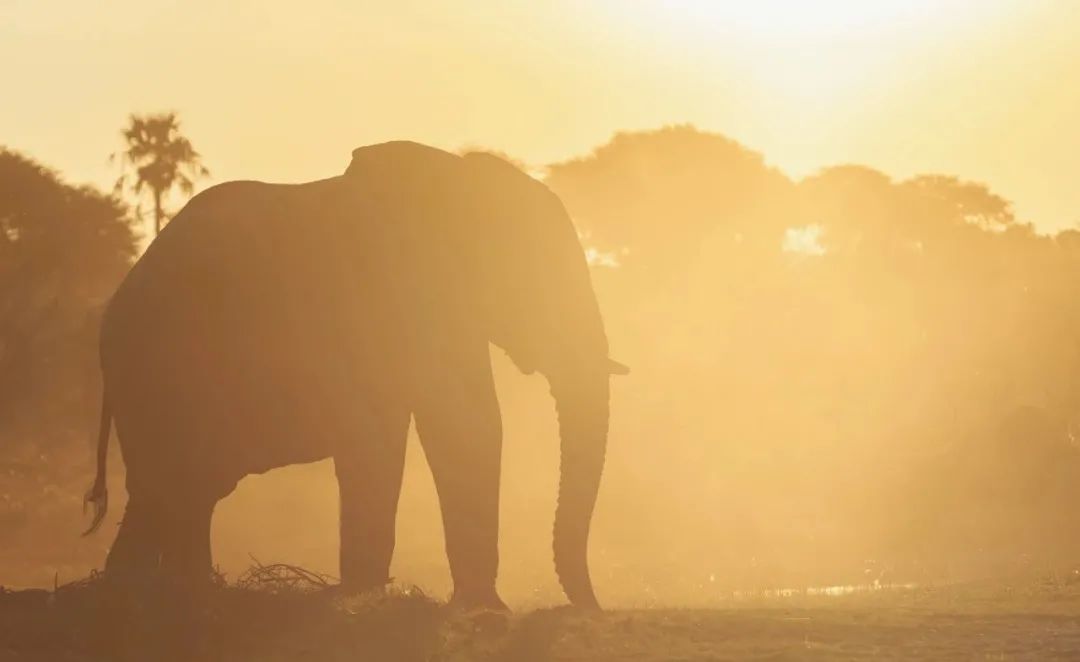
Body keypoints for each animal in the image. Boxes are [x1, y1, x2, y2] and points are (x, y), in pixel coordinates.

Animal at [82, 140, 626, 609]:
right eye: (532, 278)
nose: (592, 609)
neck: (456, 180)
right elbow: (453, 428)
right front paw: (393, 599)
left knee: (183, 489)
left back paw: (169, 589)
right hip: (154, 369)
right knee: (170, 484)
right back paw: (157, 591)